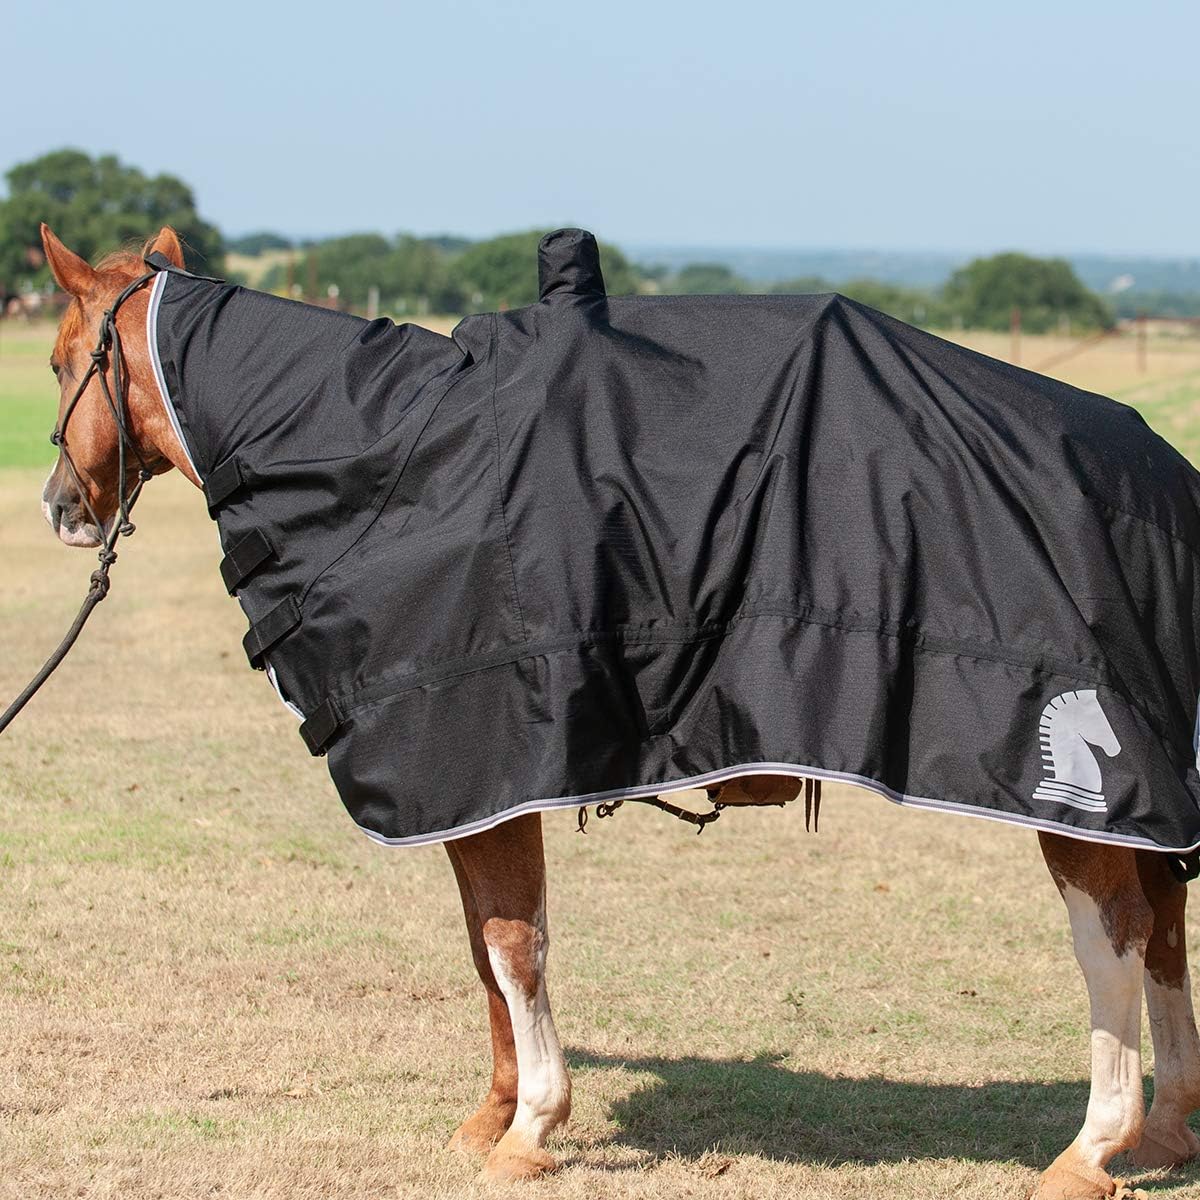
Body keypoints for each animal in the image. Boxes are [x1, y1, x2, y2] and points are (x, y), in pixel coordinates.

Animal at [32, 222, 1200, 1199]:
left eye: (55, 361)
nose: (58, 508)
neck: (391, 463)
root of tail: (1158, 474)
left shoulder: (486, 771)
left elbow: (513, 947)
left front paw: (529, 1128)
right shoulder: (476, 793)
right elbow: (486, 950)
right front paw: (493, 1114)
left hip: (1081, 789)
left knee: (1114, 938)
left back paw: (1091, 1150)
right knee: (1164, 928)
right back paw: (1164, 1131)